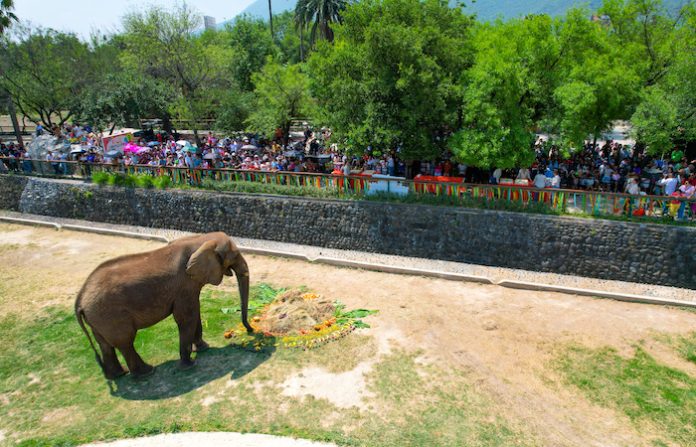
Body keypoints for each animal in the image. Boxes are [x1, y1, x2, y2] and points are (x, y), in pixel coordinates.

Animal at [75, 232, 252, 379]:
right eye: (235, 255)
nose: (250, 330)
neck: (201, 239)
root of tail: (80, 298)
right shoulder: (183, 286)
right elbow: (186, 317)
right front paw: (189, 365)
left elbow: (195, 311)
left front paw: (204, 349)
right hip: (110, 315)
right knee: (125, 342)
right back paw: (147, 372)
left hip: (98, 318)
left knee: (105, 344)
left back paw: (119, 374)